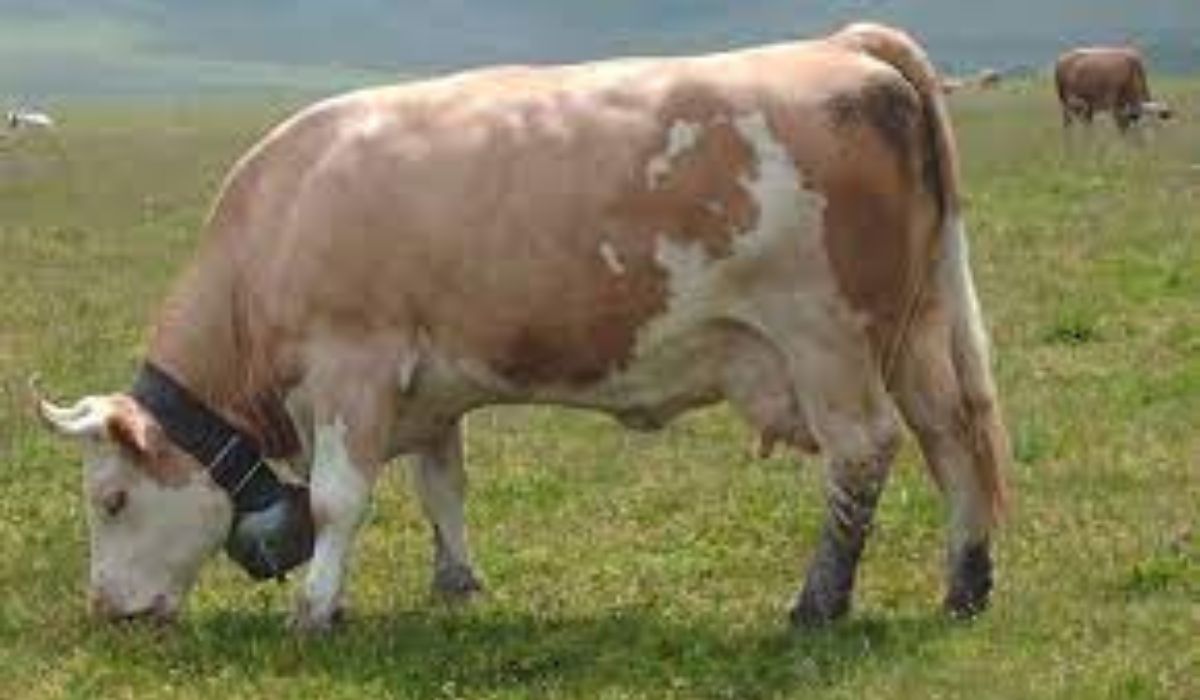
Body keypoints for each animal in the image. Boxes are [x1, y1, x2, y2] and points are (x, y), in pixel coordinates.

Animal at [35, 22, 1008, 633]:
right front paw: (457, 585)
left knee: (864, 453)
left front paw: (315, 609)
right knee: (952, 438)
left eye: (110, 499)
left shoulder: (353, 365)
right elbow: (442, 488)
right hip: (916, 333)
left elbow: (342, 498)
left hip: (827, 341)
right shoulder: (425, 390)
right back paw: (963, 584)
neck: (280, 216)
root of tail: (844, 48)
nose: (106, 611)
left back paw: (818, 603)